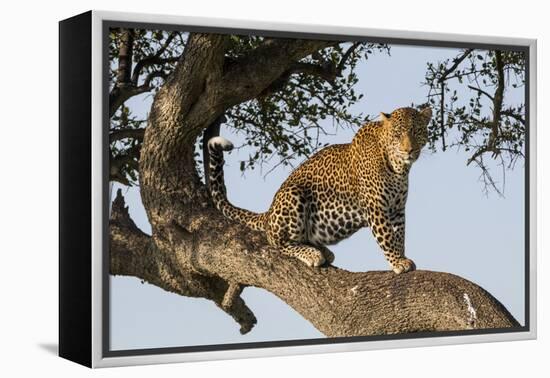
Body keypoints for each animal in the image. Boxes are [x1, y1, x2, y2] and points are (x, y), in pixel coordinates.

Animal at [209, 106, 434, 274]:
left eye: (416, 132)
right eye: (398, 134)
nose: (409, 150)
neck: (398, 167)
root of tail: (269, 212)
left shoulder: (397, 209)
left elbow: (400, 236)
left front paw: (402, 257)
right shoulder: (376, 207)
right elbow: (387, 237)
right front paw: (398, 263)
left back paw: (324, 251)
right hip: (293, 196)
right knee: (278, 243)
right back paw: (313, 254)